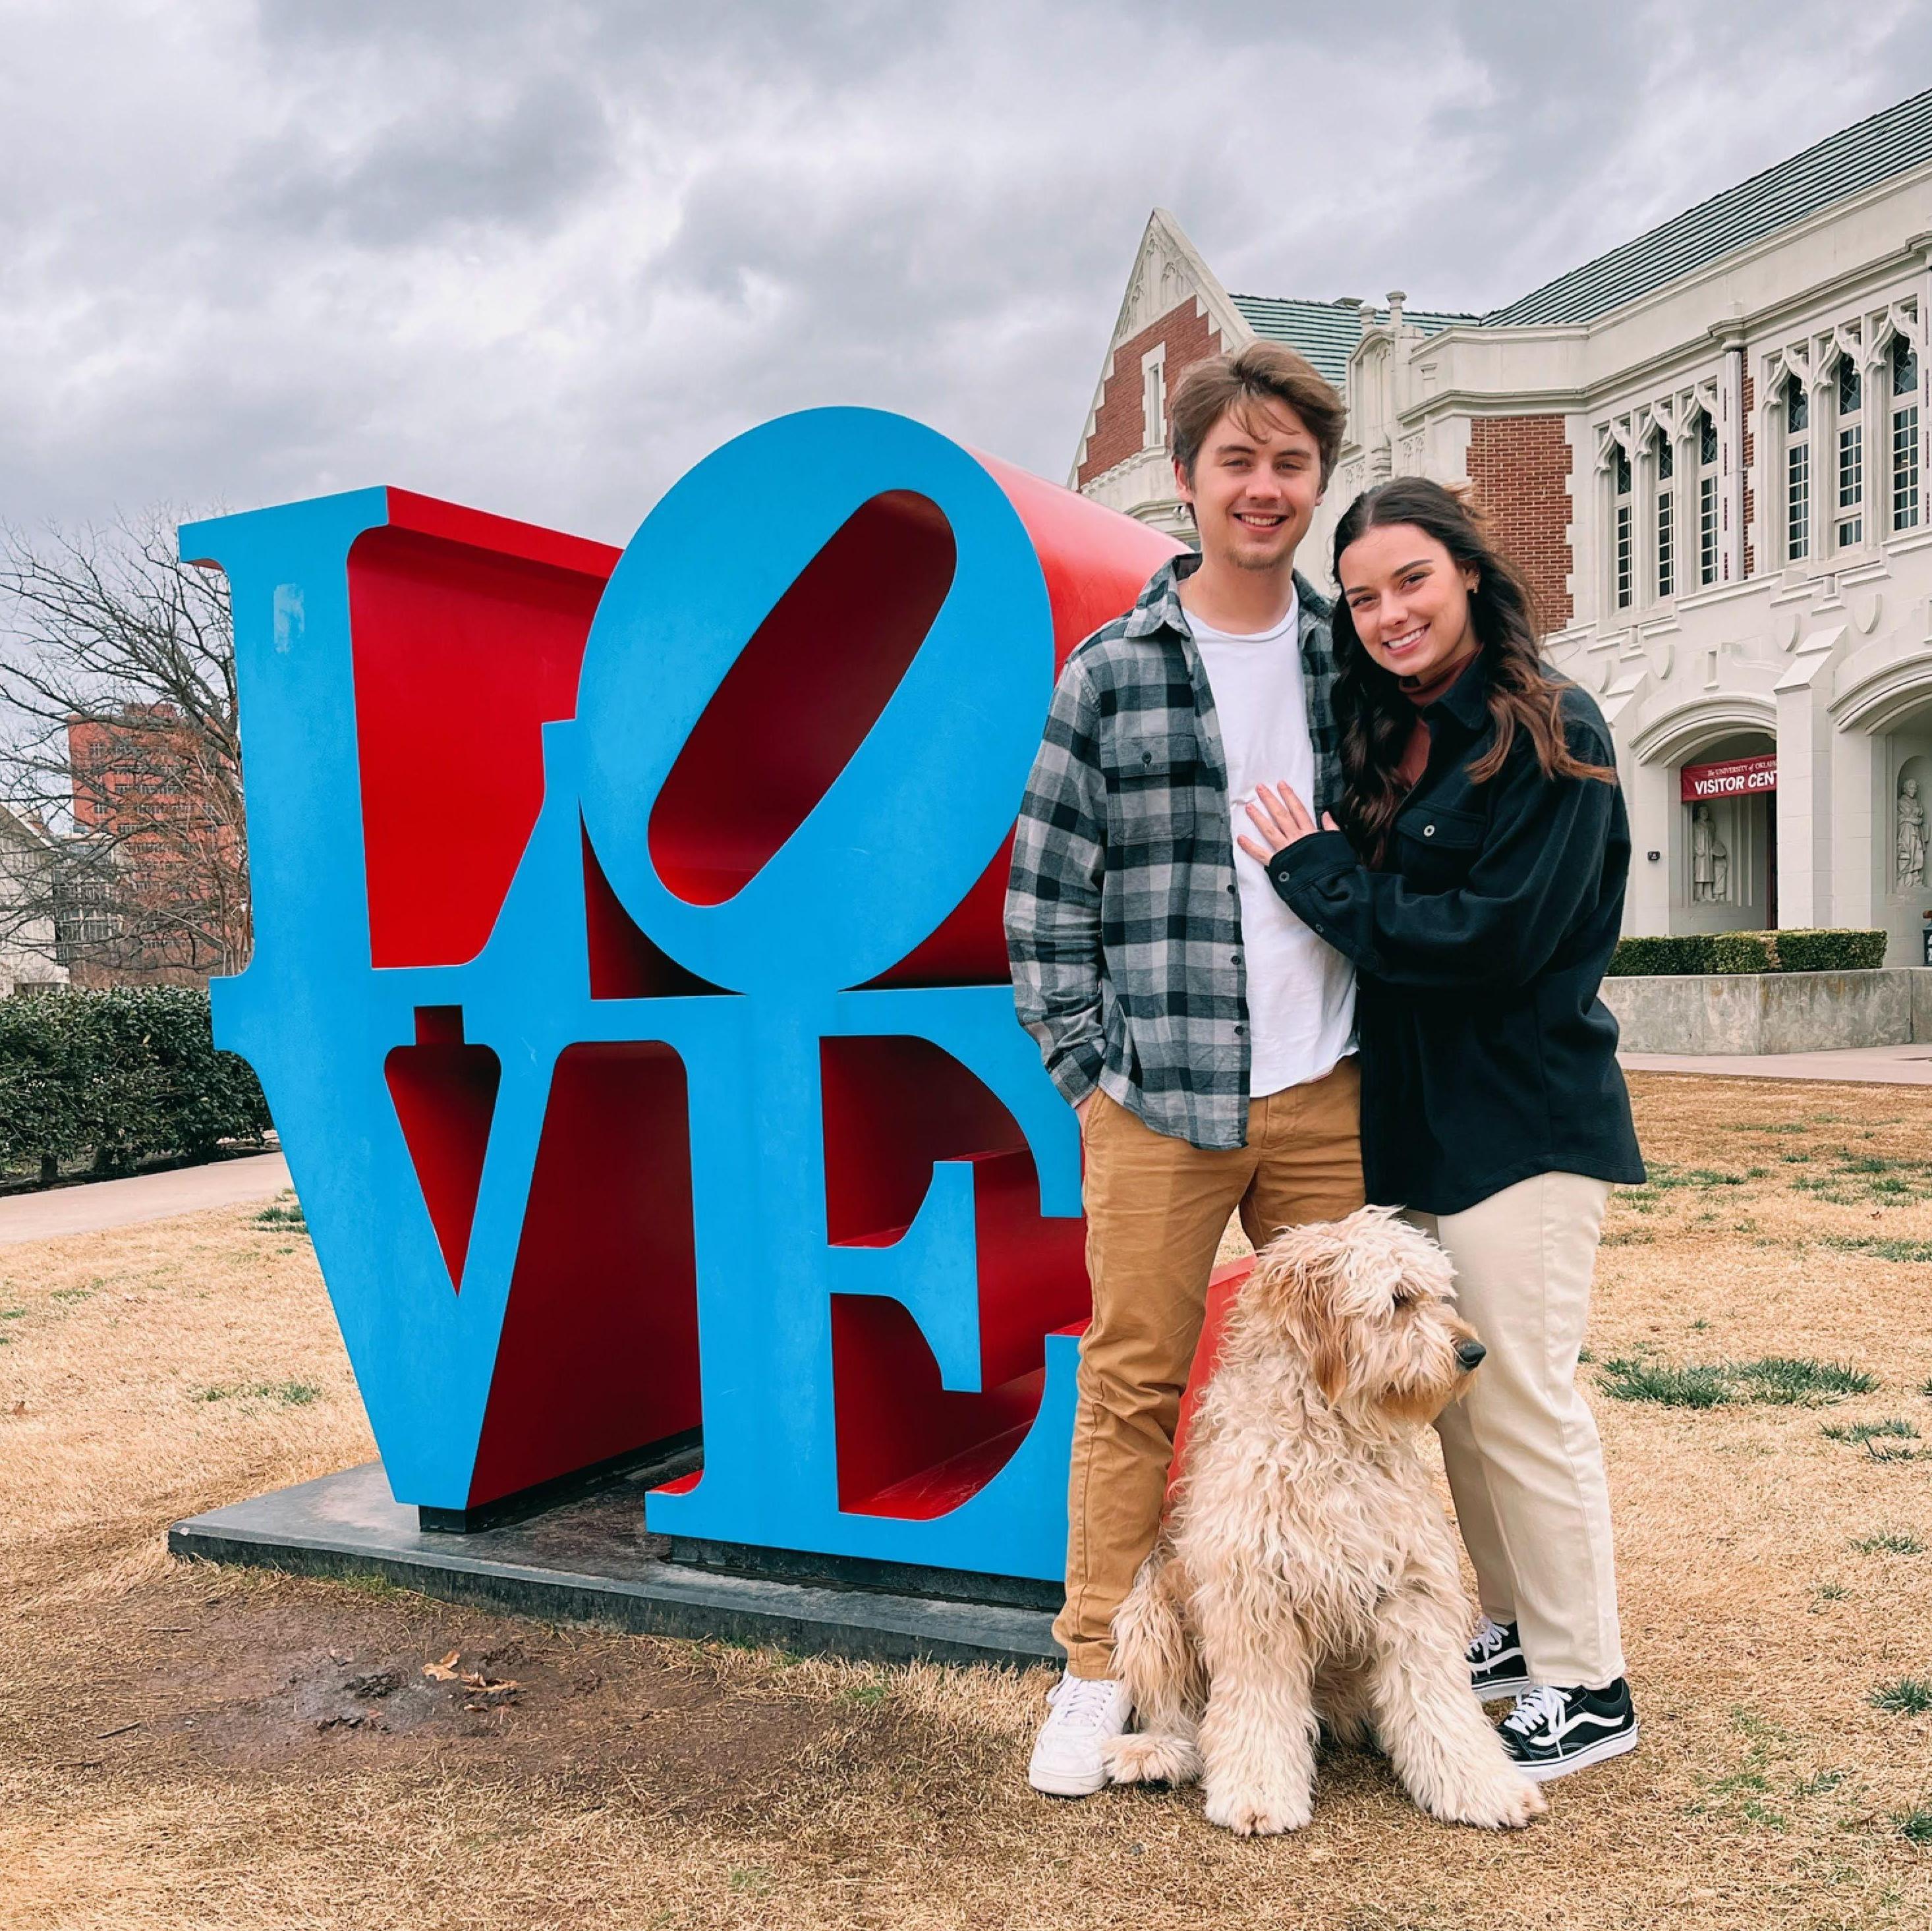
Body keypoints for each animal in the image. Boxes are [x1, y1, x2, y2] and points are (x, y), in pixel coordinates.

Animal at [1112, 1204, 1545, 1838]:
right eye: (1398, 1298)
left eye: (1441, 1295)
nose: (1474, 1353)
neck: (1330, 1438)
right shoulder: (1254, 1601)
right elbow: (1258, 1711)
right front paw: (1259, 1795)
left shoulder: (1411, 1591)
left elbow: (1440, 1705)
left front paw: (1483, 1788)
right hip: (1152, 1609)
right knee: (1181, 1712)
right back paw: (1159, 1752)